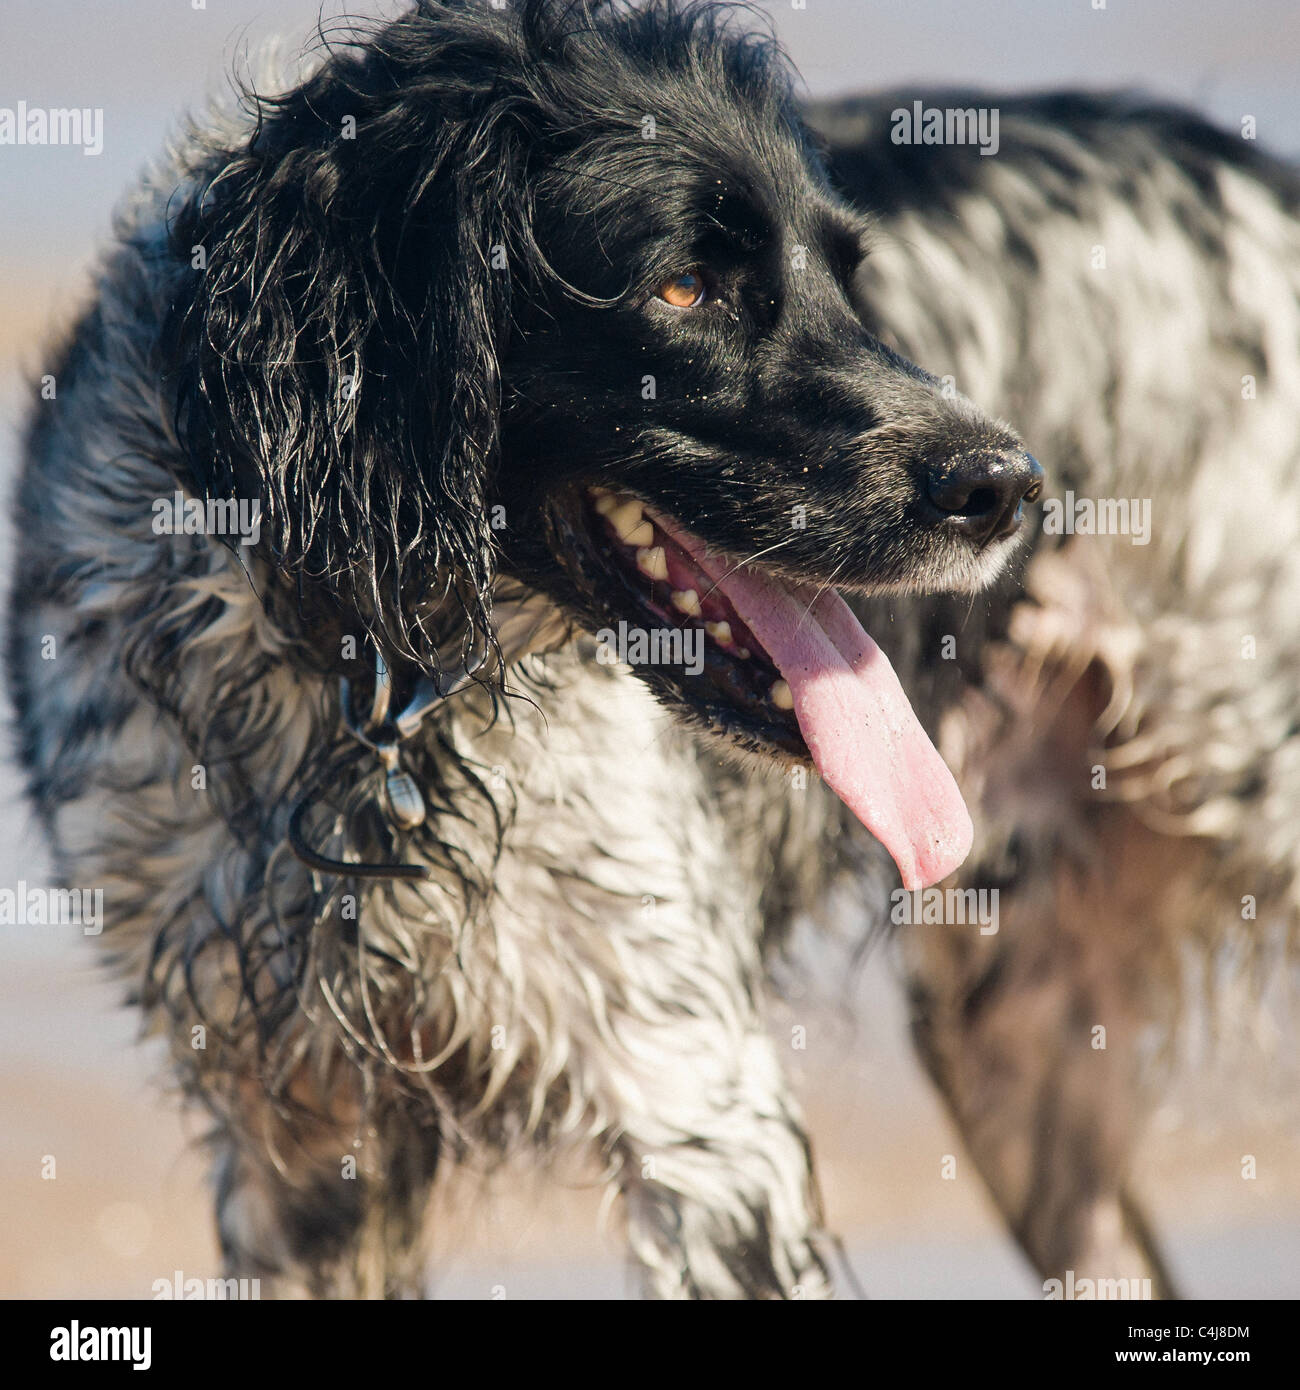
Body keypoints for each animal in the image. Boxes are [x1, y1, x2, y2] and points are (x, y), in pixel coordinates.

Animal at [10, 2, 1300, 1301]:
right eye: (685, 287)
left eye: (850, 277)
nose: (1011, 485)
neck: (378, 683)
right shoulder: (296, 1143)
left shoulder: (705, 1127)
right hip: (1008, 1029)